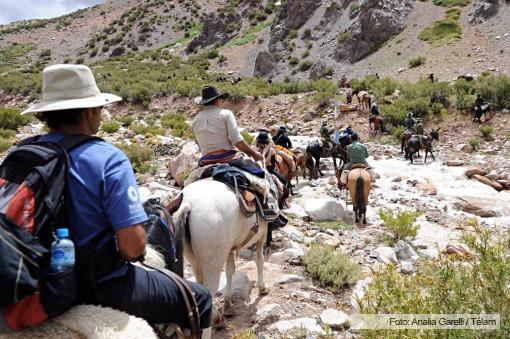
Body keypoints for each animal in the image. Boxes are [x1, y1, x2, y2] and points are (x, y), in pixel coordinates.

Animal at [173, 179, 268, 326]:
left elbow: (230, 271)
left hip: (193, 259)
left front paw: (228, 305)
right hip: (213, 263)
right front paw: (262, 287)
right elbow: (259, 260)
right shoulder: (261, 235)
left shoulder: (230, 249)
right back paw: (215, 319)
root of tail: (187, 203)